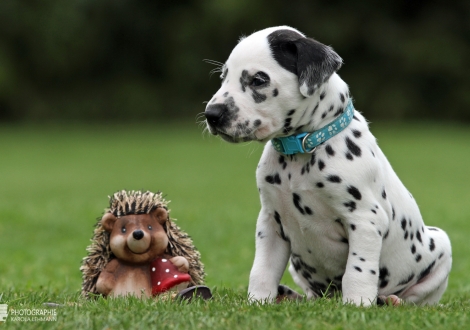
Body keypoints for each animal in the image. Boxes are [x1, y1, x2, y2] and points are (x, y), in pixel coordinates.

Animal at [203, 26, 452, 306]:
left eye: (258, 80)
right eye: (223, 76)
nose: (211, 114)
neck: (301, 149)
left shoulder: (365, 219)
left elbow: (358, 271)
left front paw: (357, 305)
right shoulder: (270, 222)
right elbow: (262, 270)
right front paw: (258, 302)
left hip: (441, 246)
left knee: (416, 298)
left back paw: (392, 301)